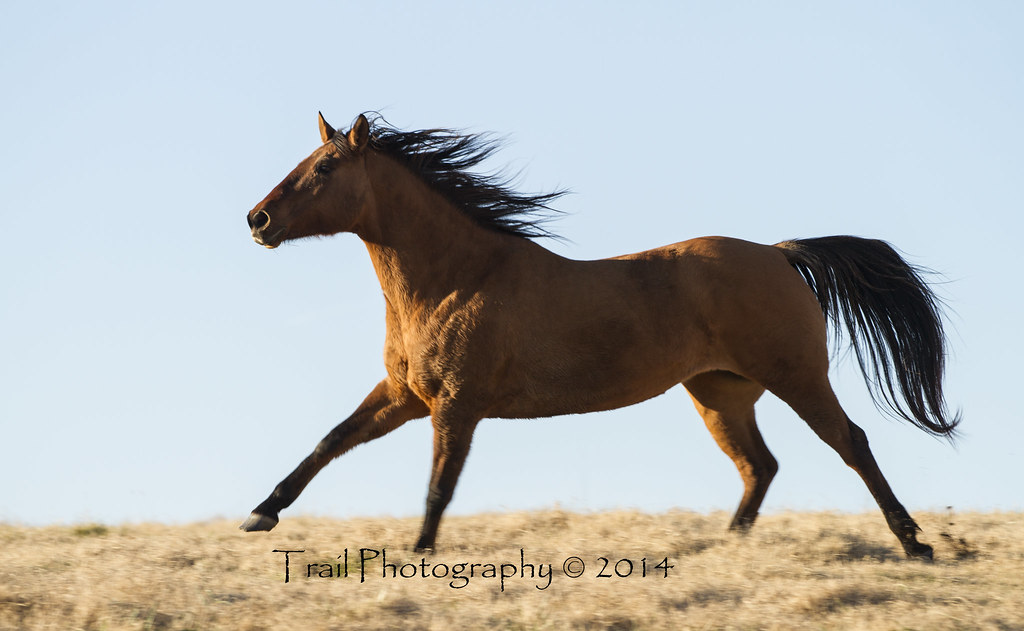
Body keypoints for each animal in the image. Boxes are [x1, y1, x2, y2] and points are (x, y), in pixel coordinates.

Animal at [242, 112, 959, 559]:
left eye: (325, 167)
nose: (258, 219)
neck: (455, 278)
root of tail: (780, 254)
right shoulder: (404, 395)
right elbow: (330, 440)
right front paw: (261, 512)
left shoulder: (455, 406)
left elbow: (438, 486)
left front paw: (419, 553)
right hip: (719, 393)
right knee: (760, 465)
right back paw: (724, 546)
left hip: (797, 377)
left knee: (851, 443)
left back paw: (916, 543)